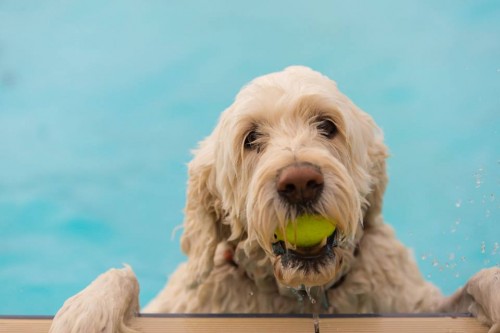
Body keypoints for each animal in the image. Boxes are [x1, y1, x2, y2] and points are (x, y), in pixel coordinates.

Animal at [49, 66, 500, 330]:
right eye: (251, 138)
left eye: (327, 125)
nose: (300, 182)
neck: (305, 296)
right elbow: (122, 276)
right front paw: (87, 312)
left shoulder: (413, 304)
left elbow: (478, 281)